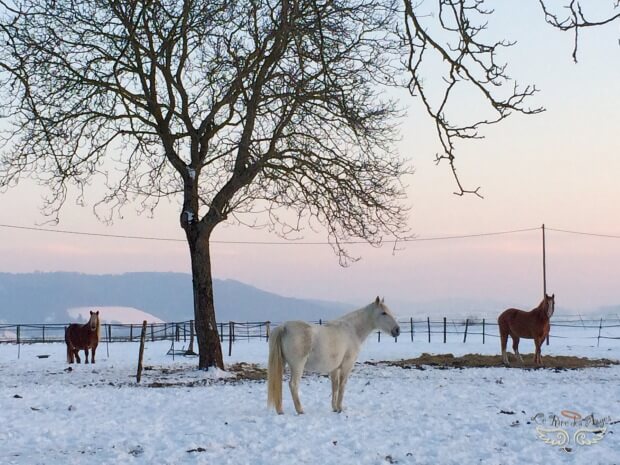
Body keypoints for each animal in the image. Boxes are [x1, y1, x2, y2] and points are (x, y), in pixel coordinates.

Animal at [268, 298, 402, 414]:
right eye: (383, 313)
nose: (397, 330)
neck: (352, 331)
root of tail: (284, 326)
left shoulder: (335, 369)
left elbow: (335, 387)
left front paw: (334, 407)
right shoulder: (347, 366)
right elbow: (342, 386)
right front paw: (340, 408)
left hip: (283, 363)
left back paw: (280, 410)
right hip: (297, 366)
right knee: (293, 385)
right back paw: (300, 410)